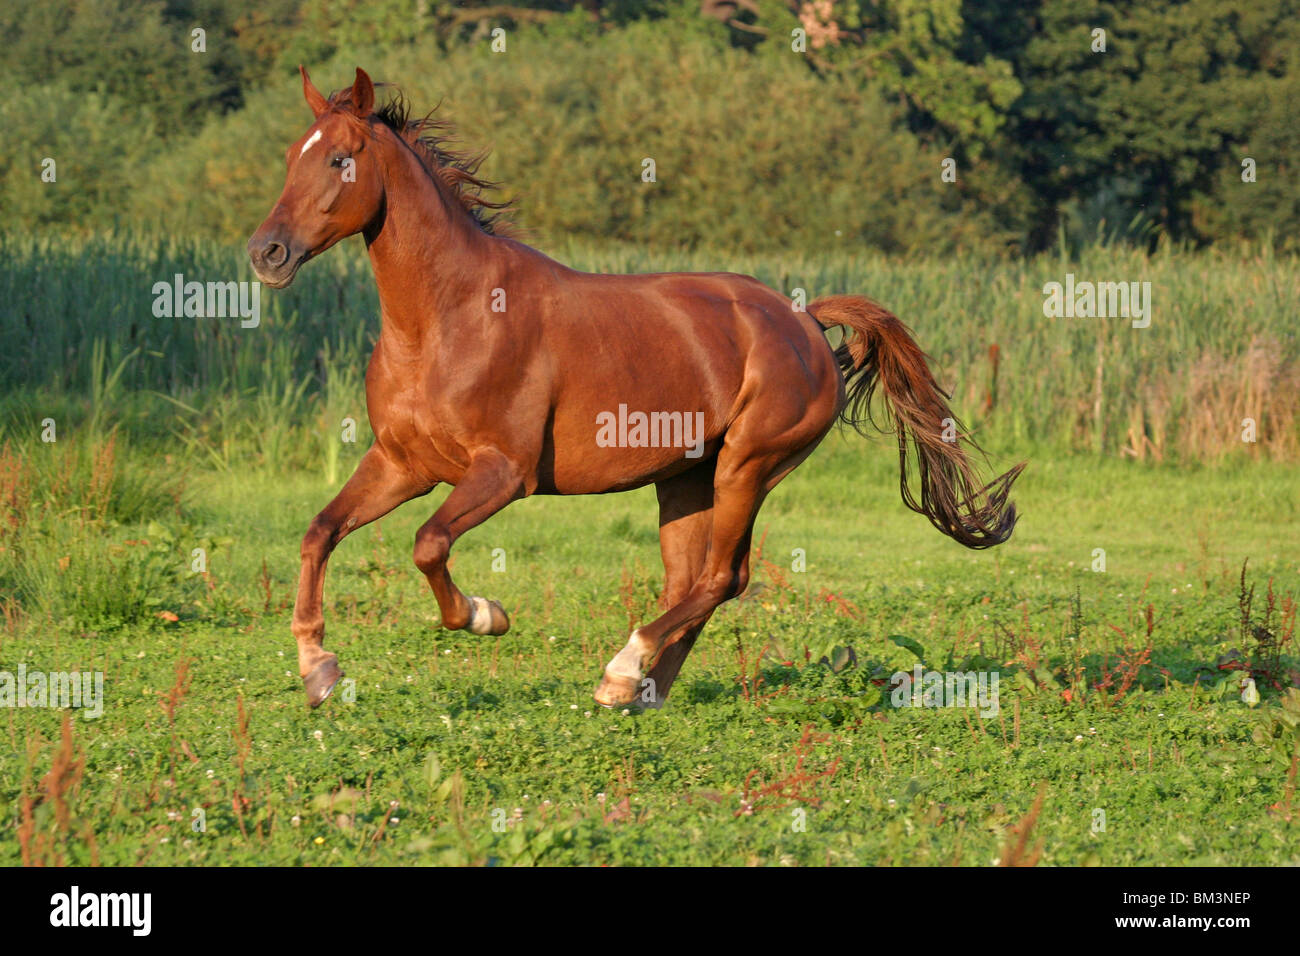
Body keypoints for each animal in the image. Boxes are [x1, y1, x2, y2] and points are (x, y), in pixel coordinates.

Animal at [248, 67, 1024, 712]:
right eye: (290, 157)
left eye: (341, 159)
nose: (267, 253)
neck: (447, 319)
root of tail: (803, 319)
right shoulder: (401, 464)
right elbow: (320, 532)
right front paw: (319, 670)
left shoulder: (502, 473)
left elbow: (429, 544)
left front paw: (485, 615)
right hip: (684, 480)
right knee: (696, 582)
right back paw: (643, 690)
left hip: (749, 466)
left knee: (721, 578)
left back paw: (622, 671)